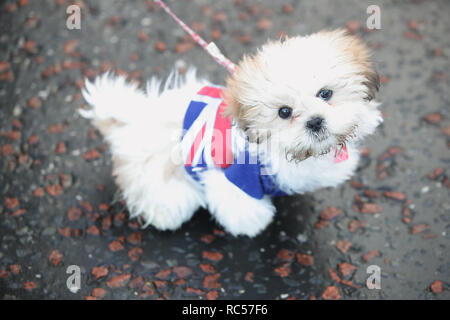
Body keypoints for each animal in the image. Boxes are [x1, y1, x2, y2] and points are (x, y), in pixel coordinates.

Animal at [81, 28, 384, 236]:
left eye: (325, 94)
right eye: (284, 112)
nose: (315, 122)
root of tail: (130, 120)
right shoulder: (237, 175)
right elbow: (240, 205)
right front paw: (254, 224)